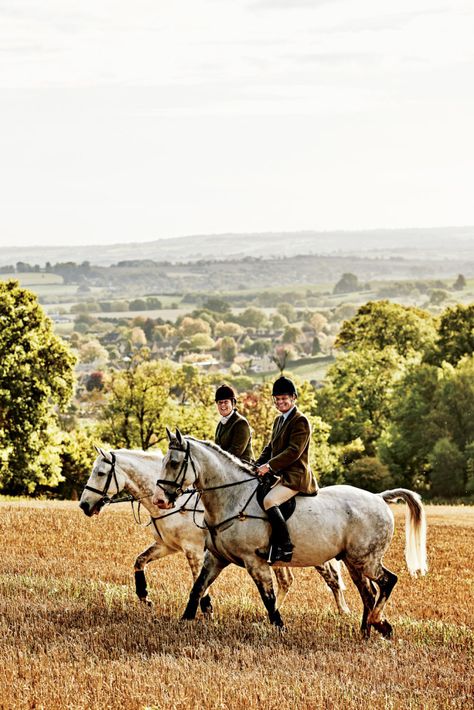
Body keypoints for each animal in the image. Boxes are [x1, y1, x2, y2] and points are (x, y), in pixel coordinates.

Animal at [78, 448, 348, 616]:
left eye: (100, 473)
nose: (84, 505)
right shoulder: (167, 546)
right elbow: (139, 561)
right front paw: (145, 597)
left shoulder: (194, 550)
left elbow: (198, 579)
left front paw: (206, 609)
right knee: (287, 580)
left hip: (313, 550)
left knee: (332, 578)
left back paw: (342, 611)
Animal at [153, 434, 430, 640]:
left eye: (174, 462)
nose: (160, 500)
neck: (232, 498)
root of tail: (379, 497)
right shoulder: (216, 557)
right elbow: (197, 588)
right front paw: (184, 622)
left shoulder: (255, 561)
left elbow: (268, 598)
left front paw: (279, 628)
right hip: (354, 562)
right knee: (369, 593)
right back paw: (367, 631)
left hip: (366, 560)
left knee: (388, 581)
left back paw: (378, 623)